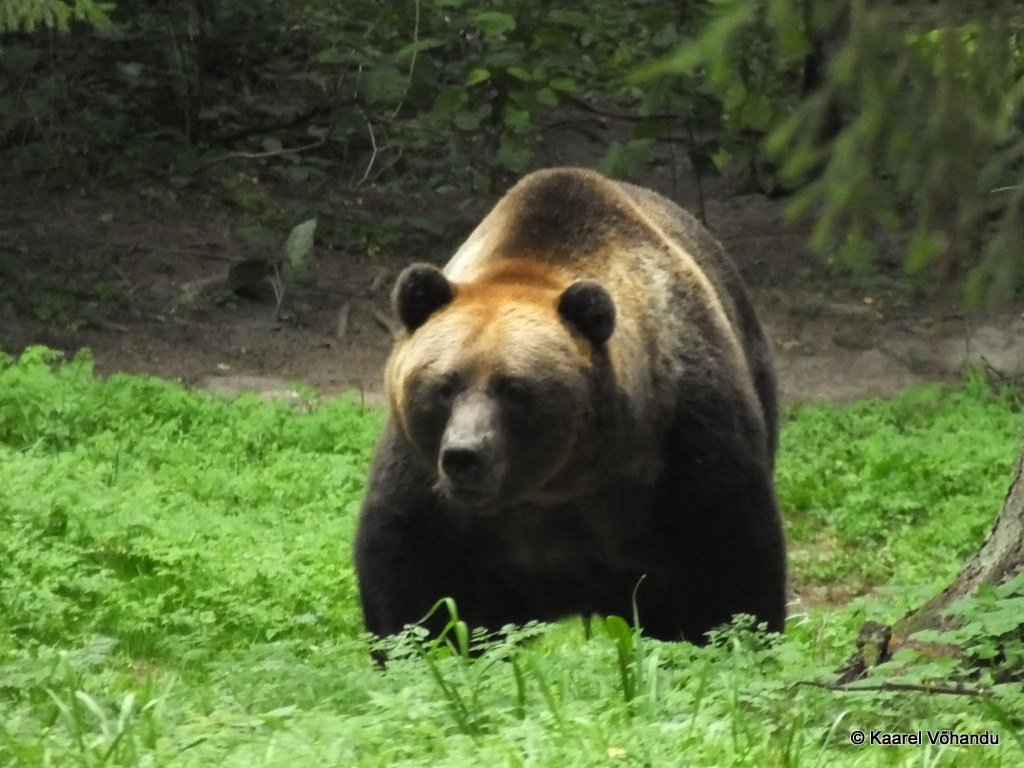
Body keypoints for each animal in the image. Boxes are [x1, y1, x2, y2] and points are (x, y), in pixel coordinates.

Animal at [353, 167, 786, 646]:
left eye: (513, 388)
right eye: (444, 386)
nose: (465, 456)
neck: (558, 483)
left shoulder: (681, 435)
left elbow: (726, 552)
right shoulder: (428, 478)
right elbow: (414, 569)